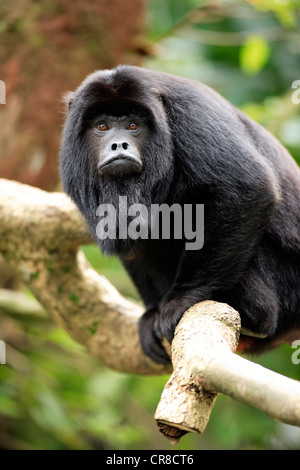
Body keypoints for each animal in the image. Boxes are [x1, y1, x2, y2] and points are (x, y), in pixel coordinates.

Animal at [59, 66, 300, 364]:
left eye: (133, 126)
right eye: (101, 126)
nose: (119, 145)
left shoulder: (193, 113)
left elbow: (248, 185)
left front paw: (183, 299)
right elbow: (130, 238)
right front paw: (152, 313)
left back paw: (255, 315)